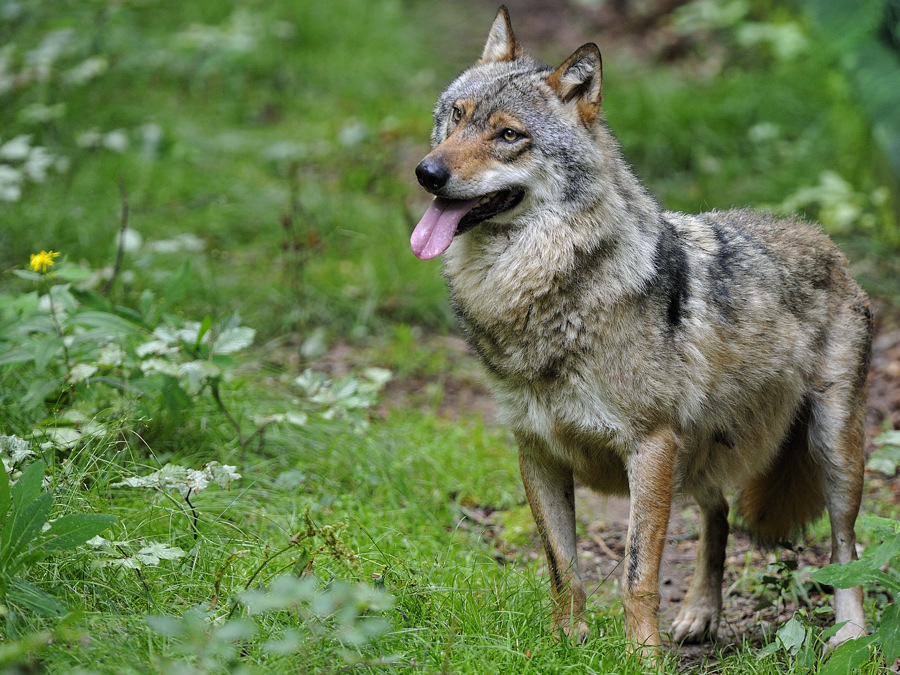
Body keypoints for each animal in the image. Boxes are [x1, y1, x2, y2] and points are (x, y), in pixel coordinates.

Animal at [410, 5, 872, 654]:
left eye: (508, 136)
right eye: (456, 117)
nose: (427, 173)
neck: (541, 292)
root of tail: (823, 238)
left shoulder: (649, 448)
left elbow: (636, 575)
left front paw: (641, 656)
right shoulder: (536, 451)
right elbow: (564, 568)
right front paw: (566, 646)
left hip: (832, 451)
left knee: (844, 546)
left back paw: (850, 632)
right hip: (699, 454)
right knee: (717, 515)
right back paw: (701, 613)